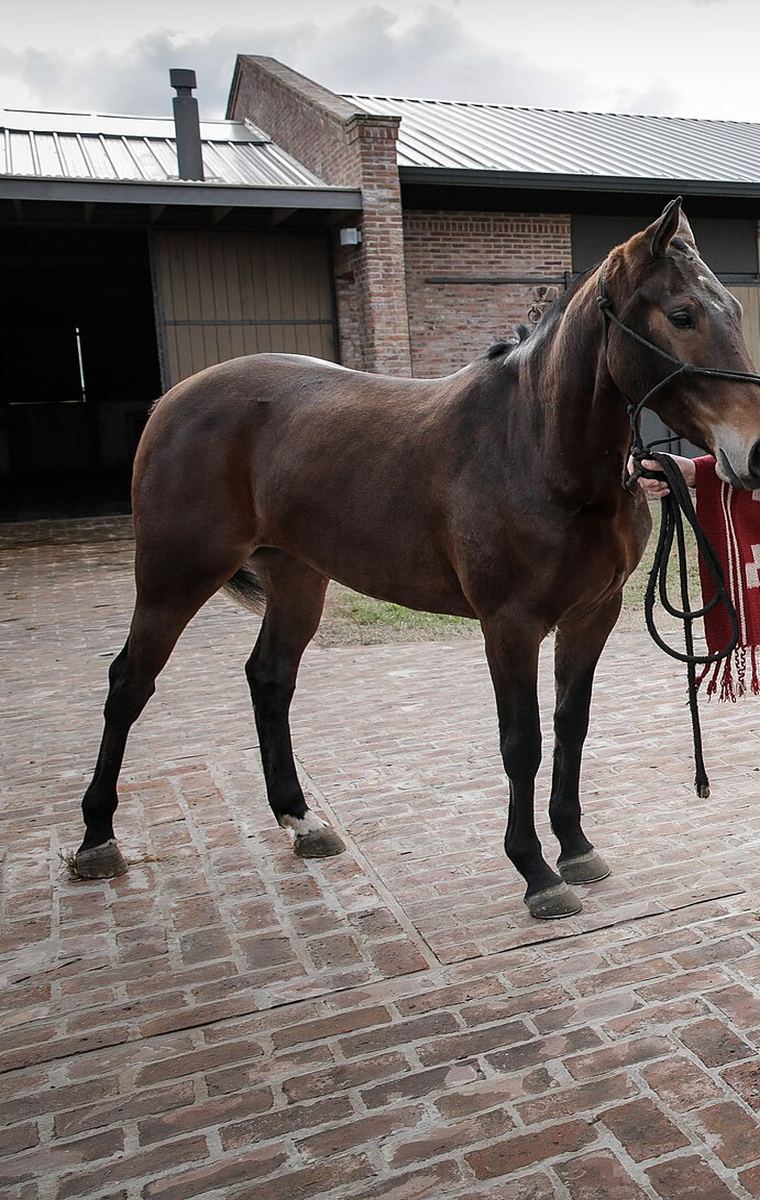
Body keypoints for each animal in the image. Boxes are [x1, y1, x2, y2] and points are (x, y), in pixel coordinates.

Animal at [74, 198, 760, 920]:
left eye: (731, 310)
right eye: (681, 314)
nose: (754, 452)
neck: (538, 448)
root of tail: (172, 401)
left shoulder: (590, 616)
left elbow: (571, 726)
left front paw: (574, 845)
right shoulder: (509, 626)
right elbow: (522, 742)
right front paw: (536, 871)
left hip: (297, 577)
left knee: (270, 678)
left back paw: (301, 820)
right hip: (174, 577)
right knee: (129, 683)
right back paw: (97, 838)